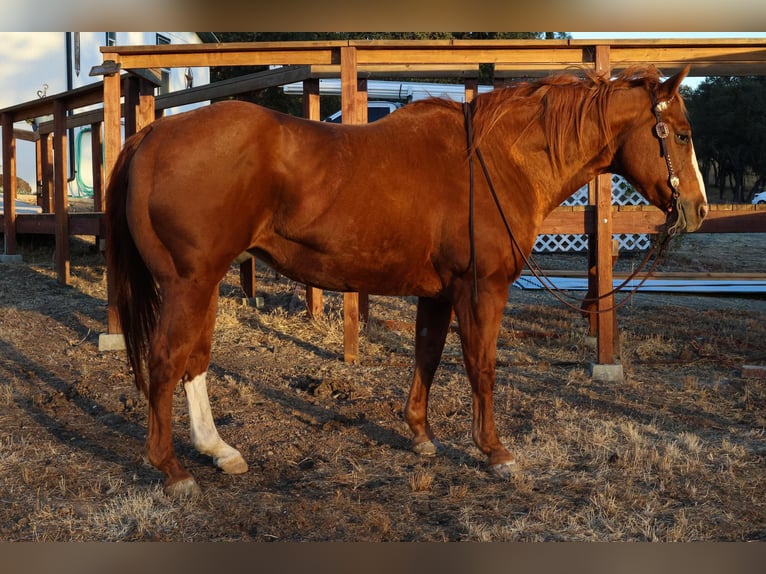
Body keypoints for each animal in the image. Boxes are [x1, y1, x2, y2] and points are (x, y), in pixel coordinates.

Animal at [106, 64, 708, 497]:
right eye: (680, 135)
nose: (699, 209)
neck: (493, 161)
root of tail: (153, 134)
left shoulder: (438, 294)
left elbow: (428, 355)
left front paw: (420, 435)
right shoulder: (481, 289)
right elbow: (481, 366)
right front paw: (494, 452)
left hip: (202, 284)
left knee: (195, 361)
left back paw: (218, 450)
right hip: (188, 283)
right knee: (167, 360)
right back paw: (173, 470)